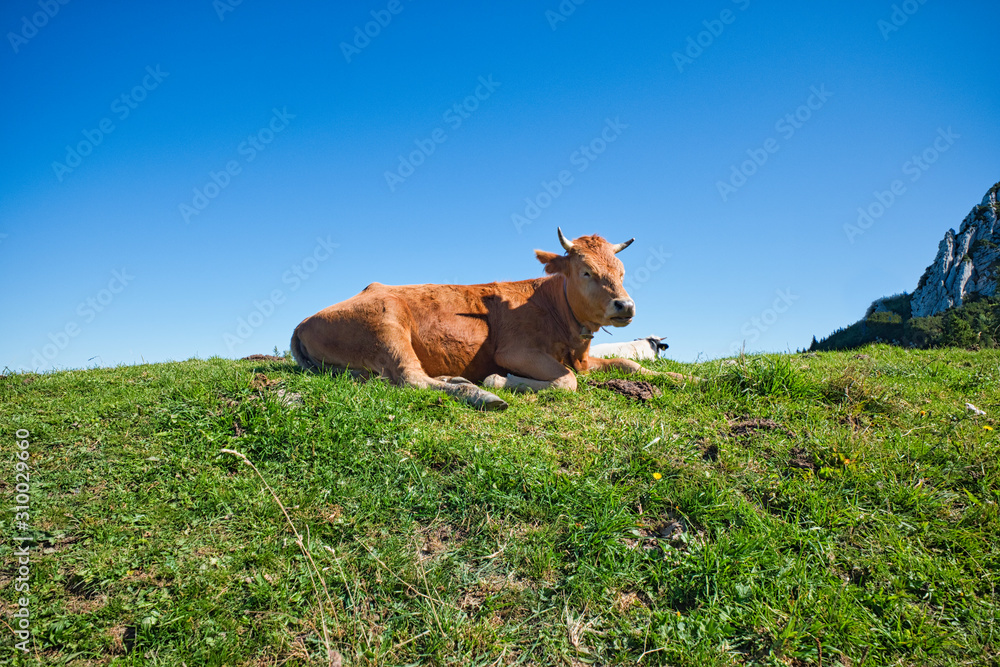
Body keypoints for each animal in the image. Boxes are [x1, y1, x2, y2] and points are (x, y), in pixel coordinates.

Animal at [290, 228, 661, 411]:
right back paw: (479, 394)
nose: (625, 305)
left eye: (621, 272)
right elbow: (567, 381)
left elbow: (629, 365)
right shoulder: (515, 352)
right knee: (411, 378)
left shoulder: (581, 358)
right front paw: (497, 381)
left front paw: (672, 377)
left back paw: (457, 381)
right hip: (387, 324)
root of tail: (304, 321)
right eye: (586, 271)